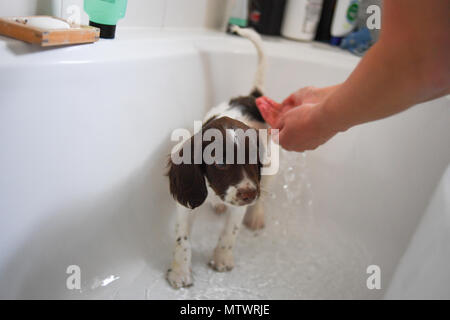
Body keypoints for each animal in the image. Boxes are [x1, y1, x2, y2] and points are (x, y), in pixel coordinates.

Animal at [167, 26, 276, 288]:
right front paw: (180, 271)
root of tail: (253, 97)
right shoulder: (186, 201)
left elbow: (230, 232)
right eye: (220, 162)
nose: (249, 194)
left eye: (253, 158)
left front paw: (223, 259)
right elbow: (182, 238)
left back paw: (256, 215)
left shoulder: (244, 196)